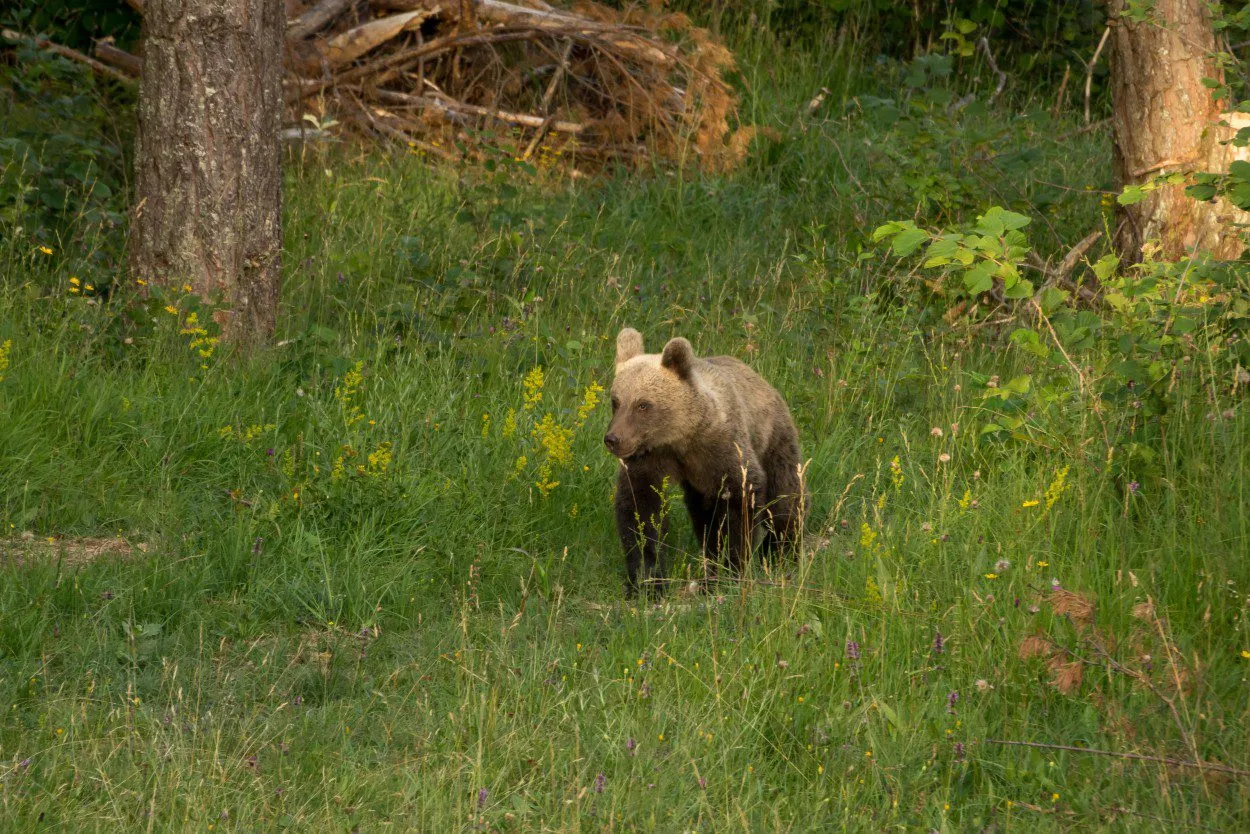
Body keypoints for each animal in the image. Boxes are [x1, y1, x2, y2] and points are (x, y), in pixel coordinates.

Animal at [604, 327, 804, 596]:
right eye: (615, 401)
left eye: (643, 404)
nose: (613, 439)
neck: (678, 439)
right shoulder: (648, 459)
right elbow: (640, 510)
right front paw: (646, 582)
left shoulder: (721, 448)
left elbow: (739, 500)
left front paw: (730, 568)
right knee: (702, 513)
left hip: (774, 439)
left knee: (785, 497)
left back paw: (780, 551)